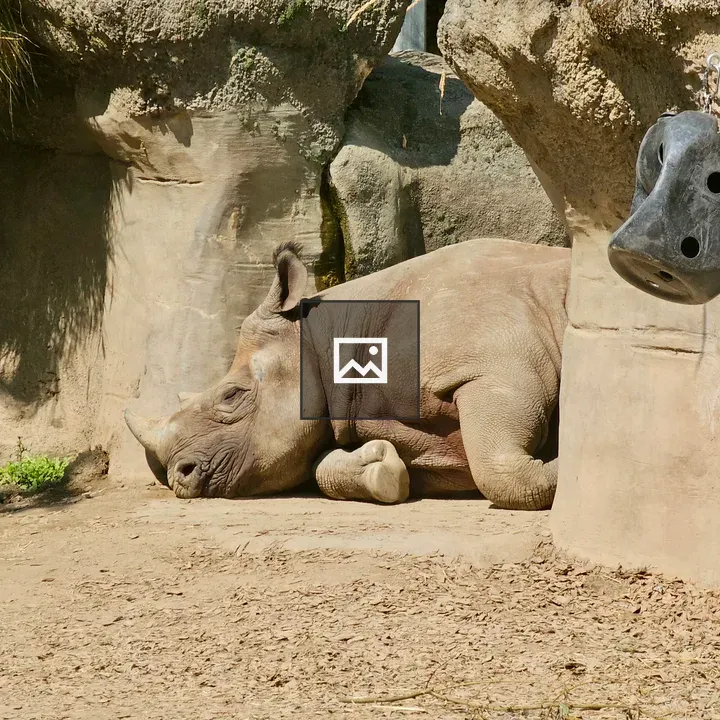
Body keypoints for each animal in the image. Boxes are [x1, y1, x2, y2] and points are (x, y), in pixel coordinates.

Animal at [125, 238, 570, 510]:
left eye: (231, 395)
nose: (178, 477)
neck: (328, 336)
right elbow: (323, 468)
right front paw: (380, 470)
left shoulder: (497, 369)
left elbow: (498, 466)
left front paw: (566, 467)